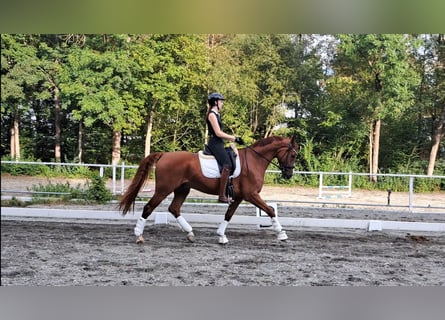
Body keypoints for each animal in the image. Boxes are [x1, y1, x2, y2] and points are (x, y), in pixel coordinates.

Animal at [118, 134, 298, 244]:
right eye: (293, 155)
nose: (289, 174)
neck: (254, 160)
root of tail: (165, 155)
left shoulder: (239, 196)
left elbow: (228, 215)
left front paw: (221, 236)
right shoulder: (251, 195)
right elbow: (270, 210)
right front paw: (281, 233)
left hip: (182, 189)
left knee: (174, 208)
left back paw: (190, 234)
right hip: (163, 190)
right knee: (148, 207)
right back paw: (139, 236)